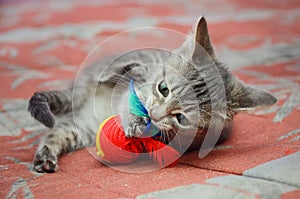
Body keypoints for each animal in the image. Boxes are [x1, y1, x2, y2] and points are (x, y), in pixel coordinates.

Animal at [28, 17, 276, 173]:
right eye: (163, 88)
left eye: (181, 118)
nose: (154, 114)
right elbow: (130, 91)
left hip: (83, 127)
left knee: (58, 132)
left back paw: (46, 159)